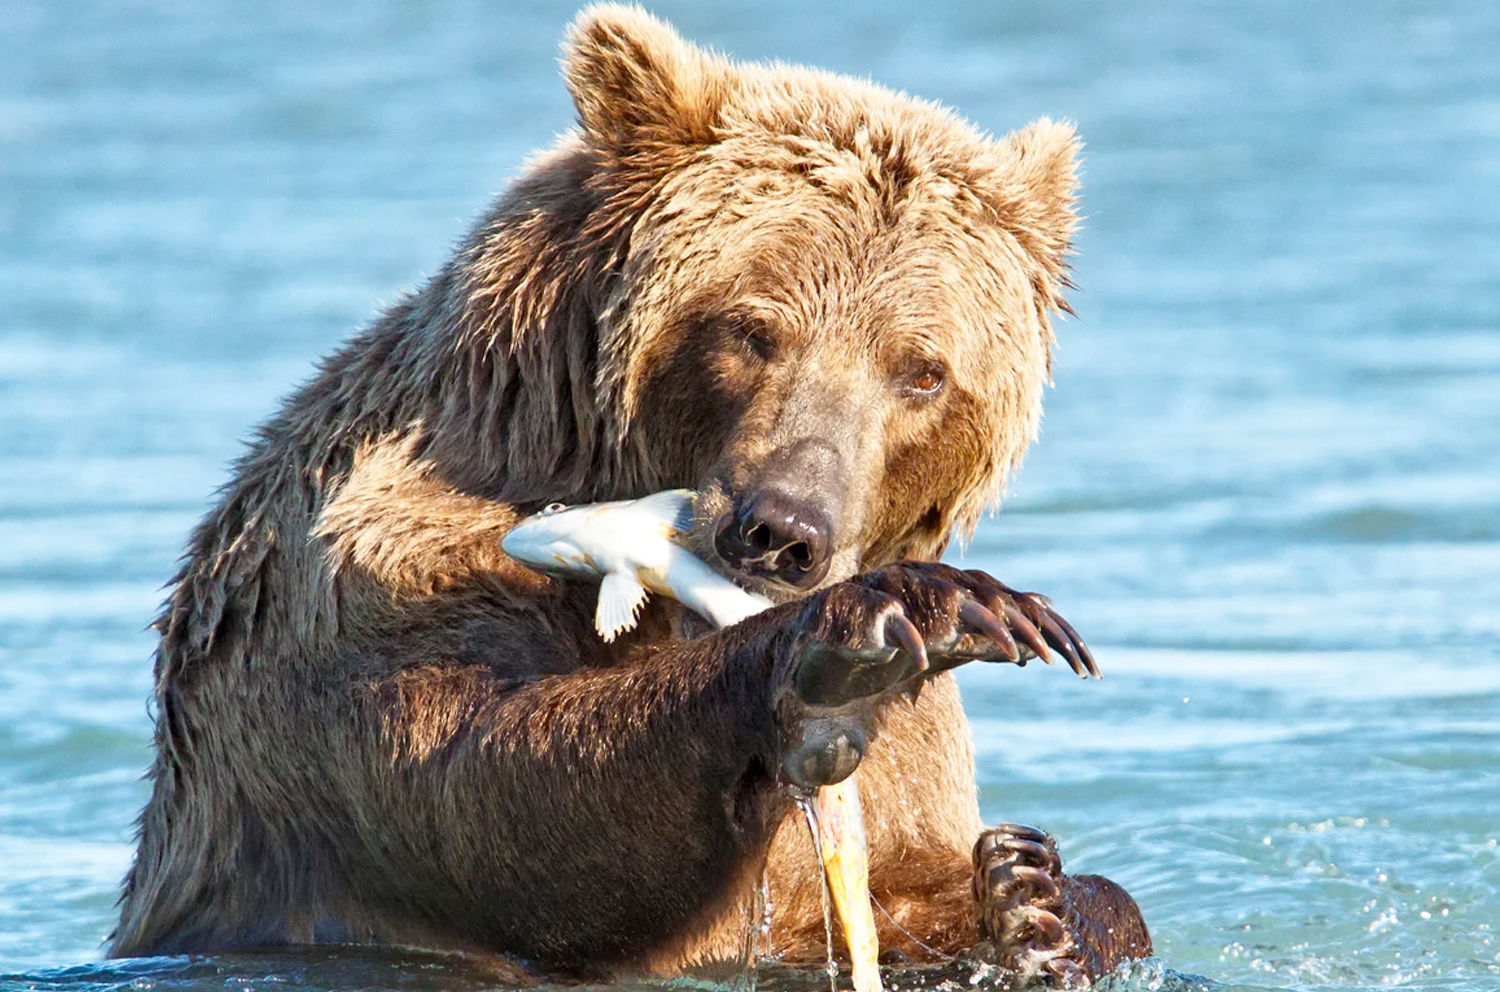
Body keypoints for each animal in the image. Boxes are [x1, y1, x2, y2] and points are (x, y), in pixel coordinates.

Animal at [111, 5, 1152, 984]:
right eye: (751, 328)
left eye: (923, 372)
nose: (783, 531)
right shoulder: (376, 569)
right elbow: (496, 783)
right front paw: (870, 639)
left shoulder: (910, 759)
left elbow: (895, 877)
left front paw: (1035, 901)